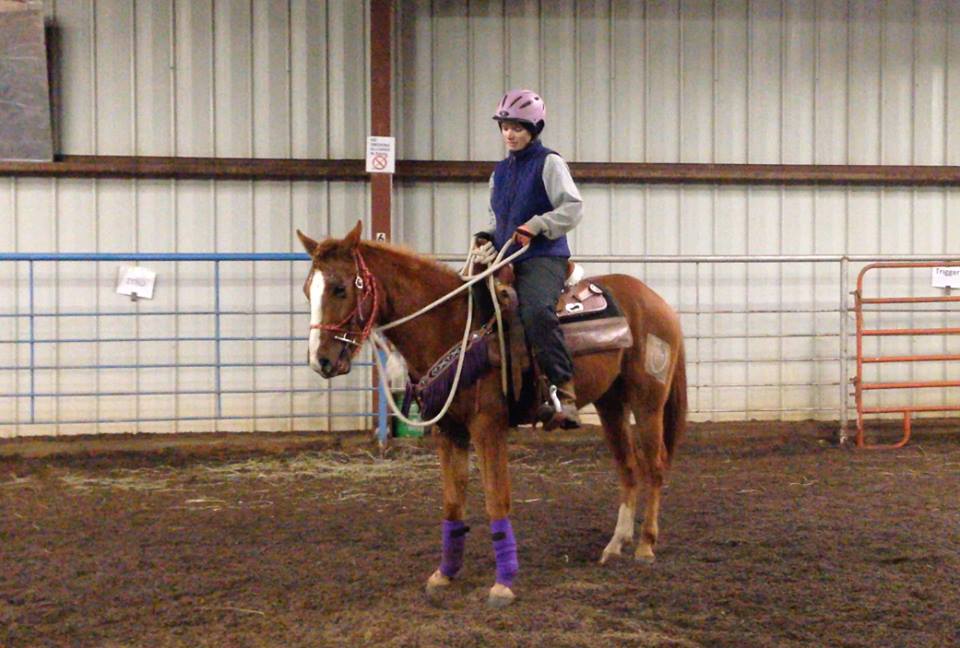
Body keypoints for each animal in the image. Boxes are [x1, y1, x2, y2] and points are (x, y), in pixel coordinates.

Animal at [297, 221, 687, 609]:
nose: (321, 361)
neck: (452, 324)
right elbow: (453, 503)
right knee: (628, 467)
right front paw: (445, 574)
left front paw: (503, 583)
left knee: (654, 466)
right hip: (611, 404)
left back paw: (645, 546)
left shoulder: (488, 426)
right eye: (307, 291)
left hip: (647, 402)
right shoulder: (449, 430)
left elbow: (496, 500)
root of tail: (655, 301)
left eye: (340, 288)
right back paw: (615, 545)